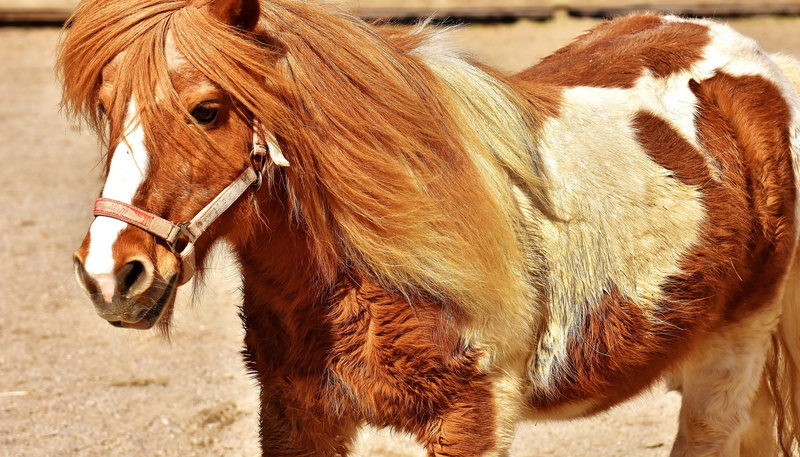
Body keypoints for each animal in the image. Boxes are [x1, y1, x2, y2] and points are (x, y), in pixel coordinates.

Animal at [59, 0, 800, 454]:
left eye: (207, 109)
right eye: (107, 107)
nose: (109, 273)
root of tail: (755, 62)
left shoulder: (472, 418)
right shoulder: (295, 412)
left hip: (731, 354)